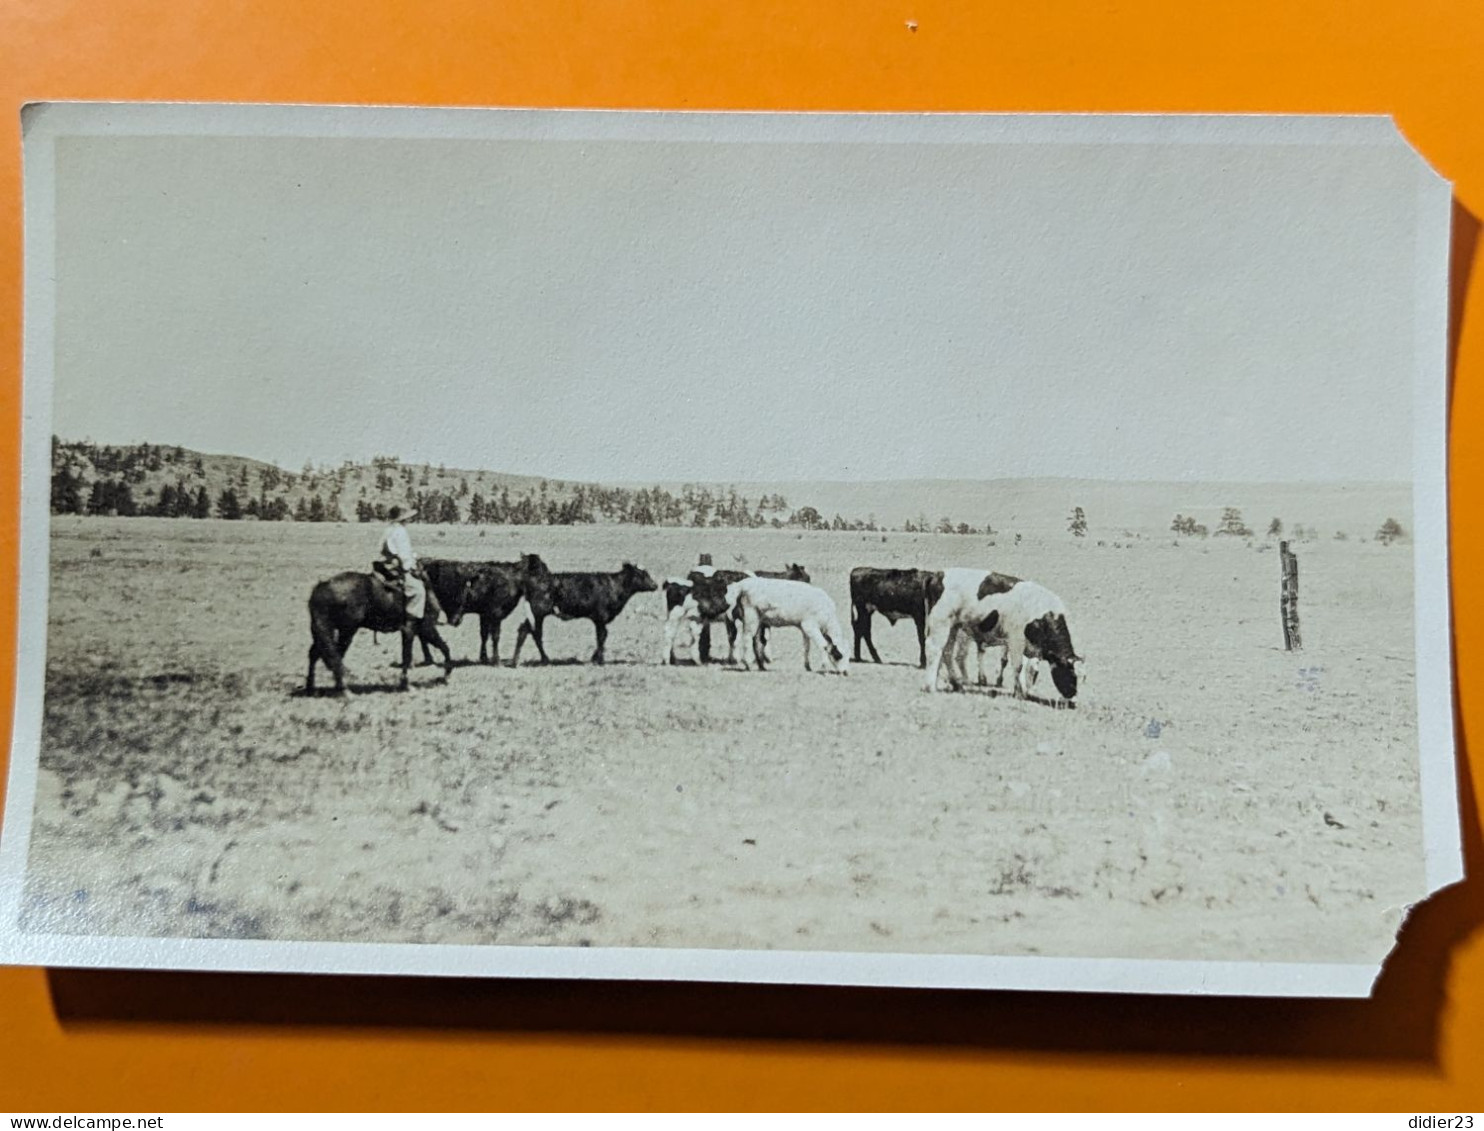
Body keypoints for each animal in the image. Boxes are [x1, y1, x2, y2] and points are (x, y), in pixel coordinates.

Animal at [310, 566, 471, 691]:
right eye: (462, 593)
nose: (456, 620)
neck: (427, 589)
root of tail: (323, 586)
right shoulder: (423, 629)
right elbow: (414, 654)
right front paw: (408, 684)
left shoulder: (416, 631)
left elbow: (437, 649)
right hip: (346, 631)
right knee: (335, 656)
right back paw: (343, 689)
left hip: (326, 630)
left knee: (317, 653)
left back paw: (312, 688)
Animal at [510, 561, 655, 664]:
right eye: (641, 575)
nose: (655, 585)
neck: (614, 586)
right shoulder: (600, 617)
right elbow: (601, 636)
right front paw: (599, 660)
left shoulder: (599, 619)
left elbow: (603, 636)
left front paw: (595, 658)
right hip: (538, 613)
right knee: (535, 633)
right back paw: (543, 659)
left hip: (535, 615)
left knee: (526, 631)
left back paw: (516, 660)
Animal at [664, 561, 813, 664]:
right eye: (805, 579)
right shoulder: (734, 616)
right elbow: (742, 637)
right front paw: (741, 659)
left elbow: (759, 637)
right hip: (677, 614)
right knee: (670, 633)